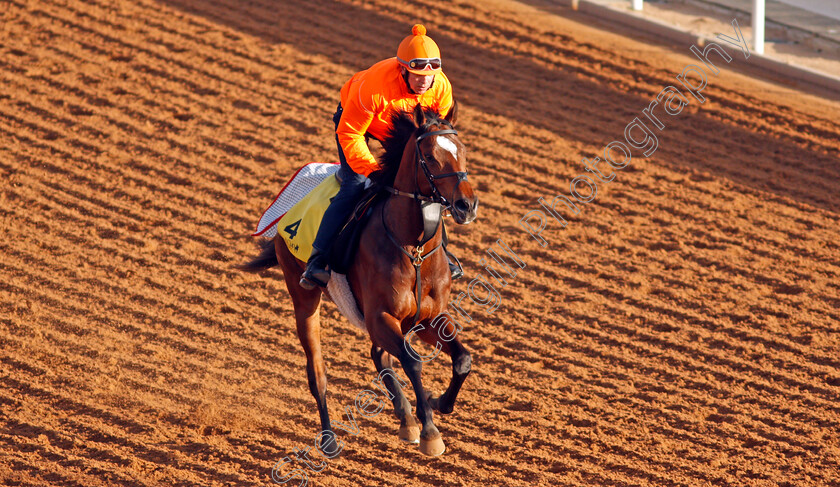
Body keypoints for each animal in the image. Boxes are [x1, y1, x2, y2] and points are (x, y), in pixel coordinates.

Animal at [243, 102, 480, 458]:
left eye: (462, 150)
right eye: (429, 155)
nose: (466, 205)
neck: (414, 250)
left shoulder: (428, 317)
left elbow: (462, 359)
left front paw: (439, 403)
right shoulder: (380, 316)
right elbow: (413, 363)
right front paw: (429, 431)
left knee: (379, 355)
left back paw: (404, 418)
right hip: (303, 294)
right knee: (318, 372)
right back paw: (329, 438)